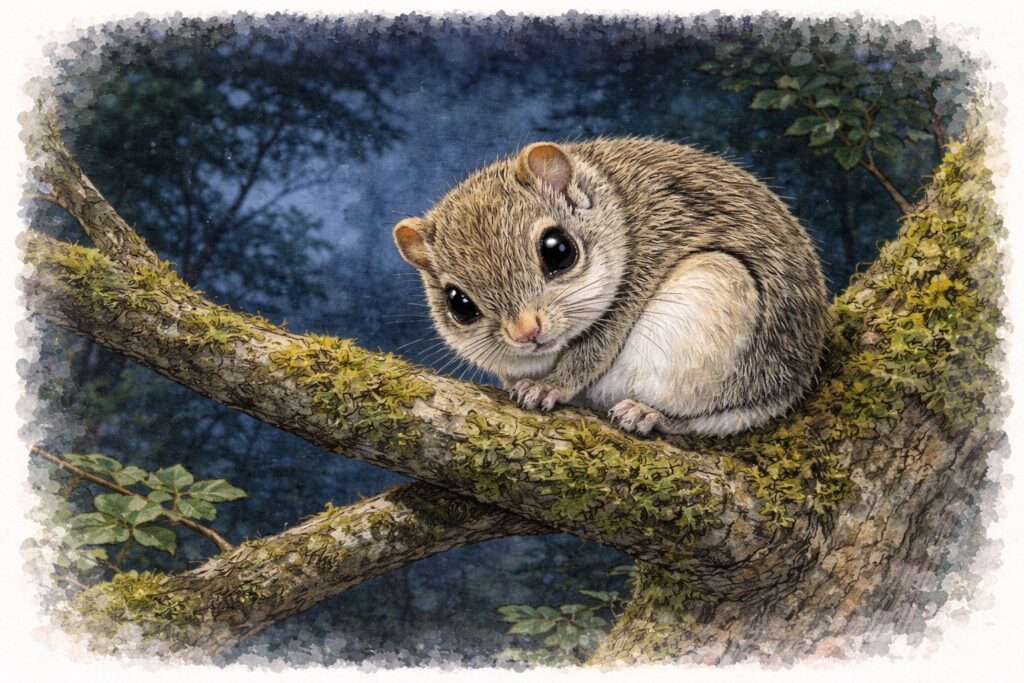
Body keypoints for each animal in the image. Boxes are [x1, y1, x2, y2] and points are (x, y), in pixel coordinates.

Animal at [393, 139, 829, 437]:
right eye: (459, 304)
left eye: (558, 250)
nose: (526, 332)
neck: (616, 204)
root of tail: (786, 387)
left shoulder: (639, 271)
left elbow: (595, 349)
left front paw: (548, 387)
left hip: (718, 295)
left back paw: (651, 414)